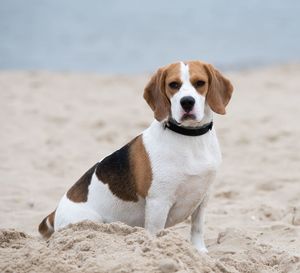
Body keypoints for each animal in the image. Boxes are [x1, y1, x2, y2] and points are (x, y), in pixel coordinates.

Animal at [38, 60, 233, 252]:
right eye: (173, 85)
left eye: (200, 83)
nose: (187, 102)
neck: (190, 138)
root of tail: (55, 212)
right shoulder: (158, 202)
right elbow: (156, 233)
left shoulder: (203, 196)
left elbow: (197, 228)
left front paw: (200, 252)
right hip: (90, 222)